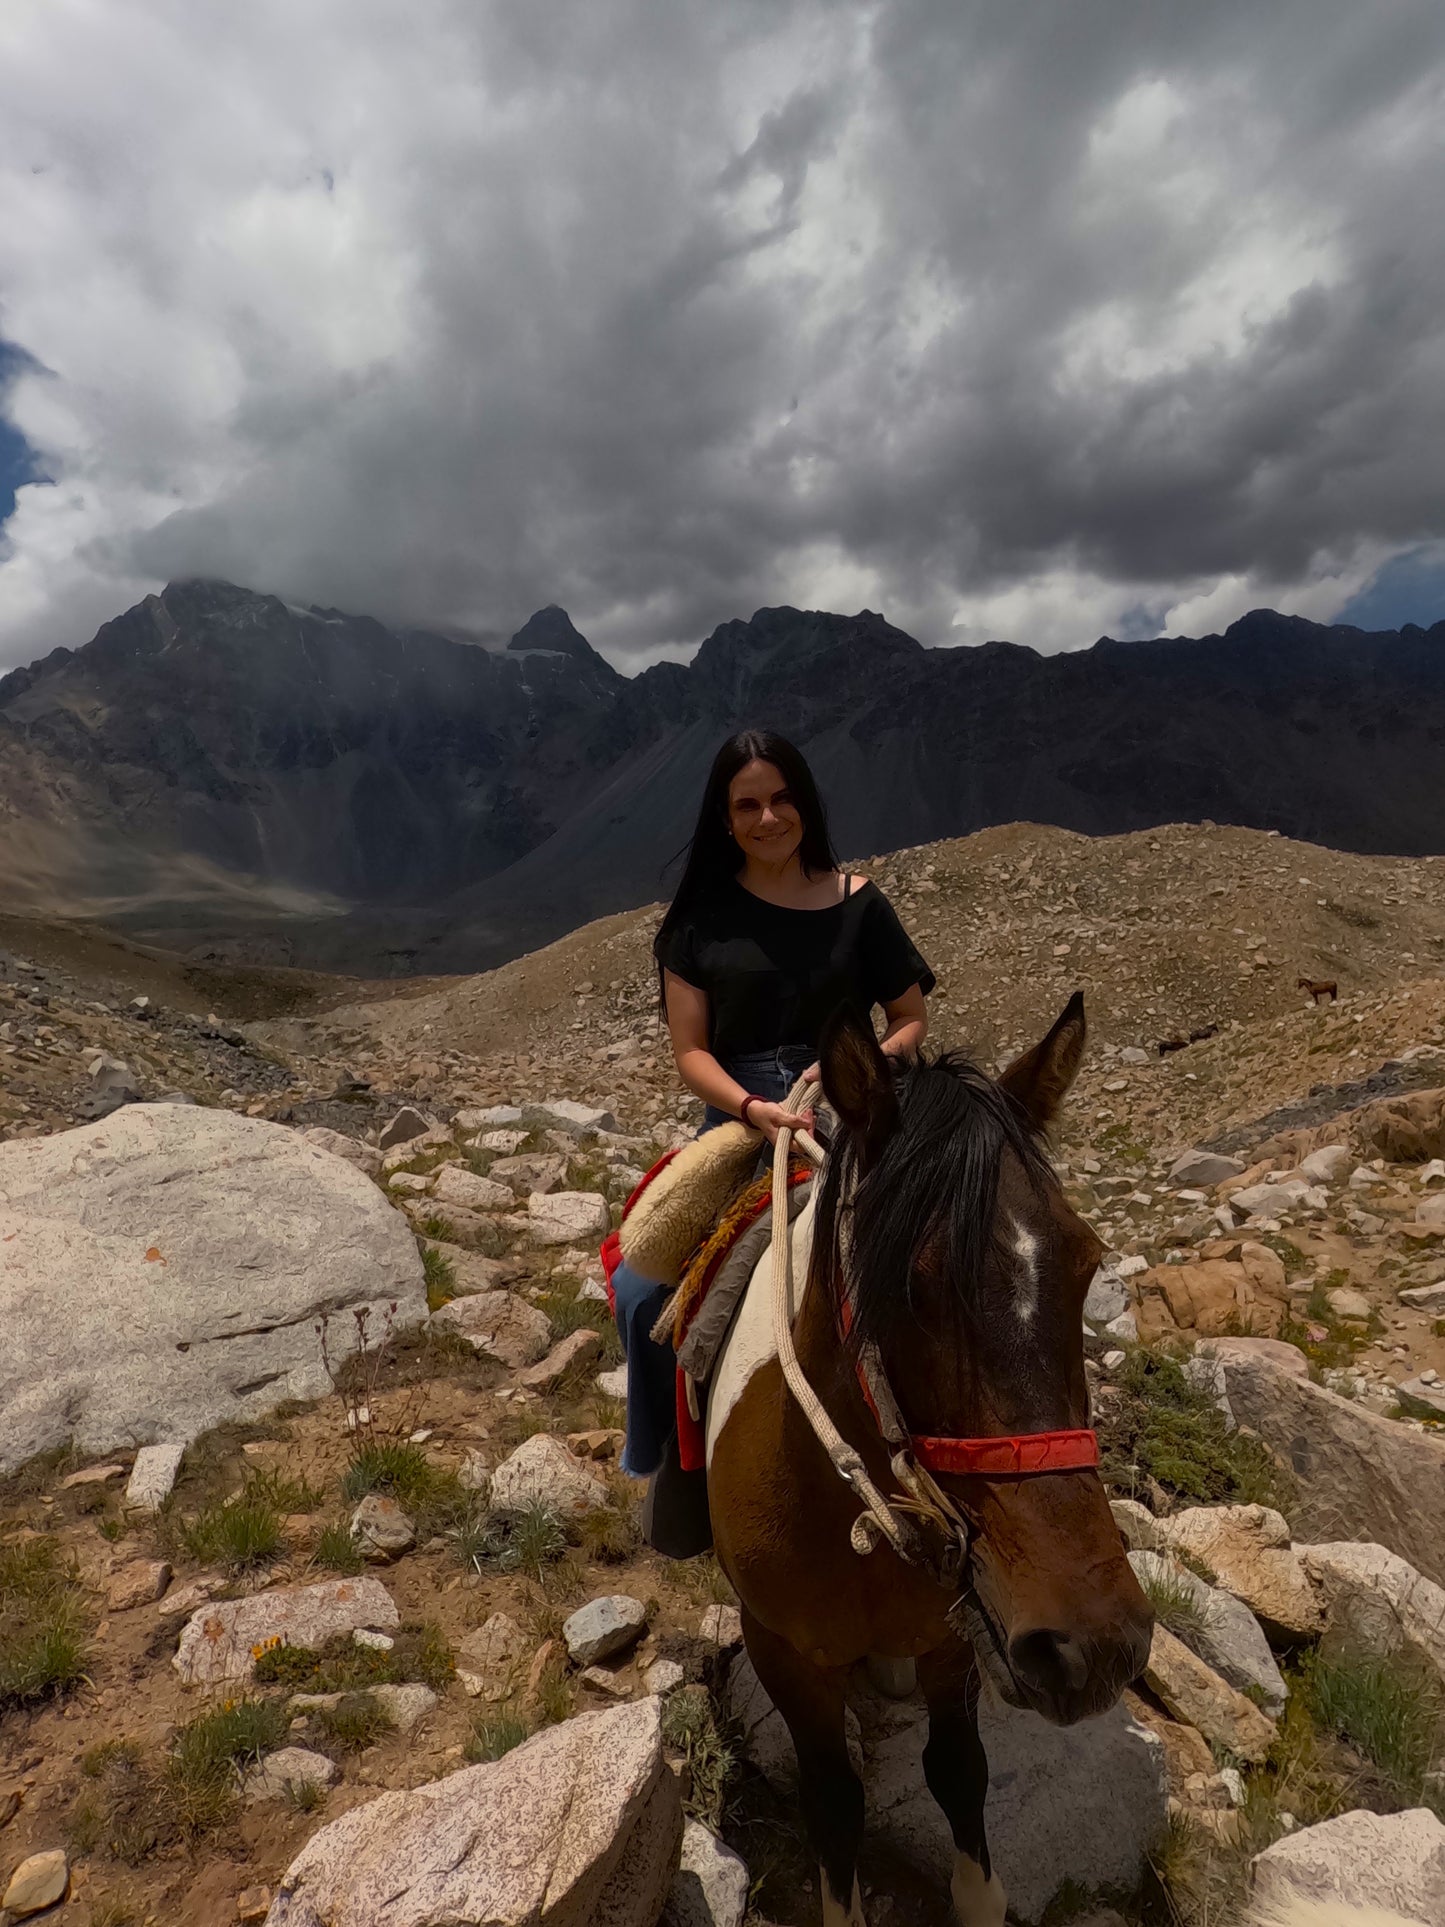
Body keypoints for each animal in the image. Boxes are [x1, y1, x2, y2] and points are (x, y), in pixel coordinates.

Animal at [709, 1002, 1163, 1919]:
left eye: (1087, 1262)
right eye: (912, 1287)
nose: (1093, 1645)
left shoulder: (954, 1642)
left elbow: (959, 1774)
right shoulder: (781, 1651)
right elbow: (832, 1798)